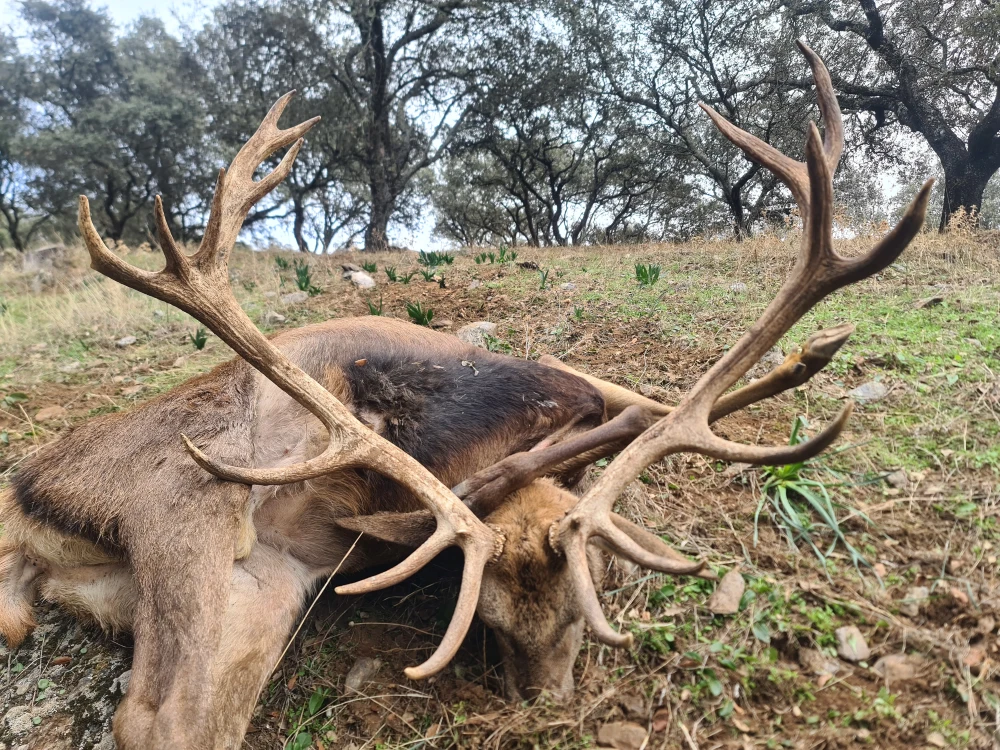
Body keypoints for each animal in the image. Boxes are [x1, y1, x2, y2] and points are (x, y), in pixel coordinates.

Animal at [0, 42, 928, 750]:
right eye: (491, 626)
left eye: (579, 617)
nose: (546, 704)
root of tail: (21, 507)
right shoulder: (543, 381)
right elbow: (639, 408)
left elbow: (640, 411)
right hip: (186, 500)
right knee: (159, 721)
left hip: (265, 586)